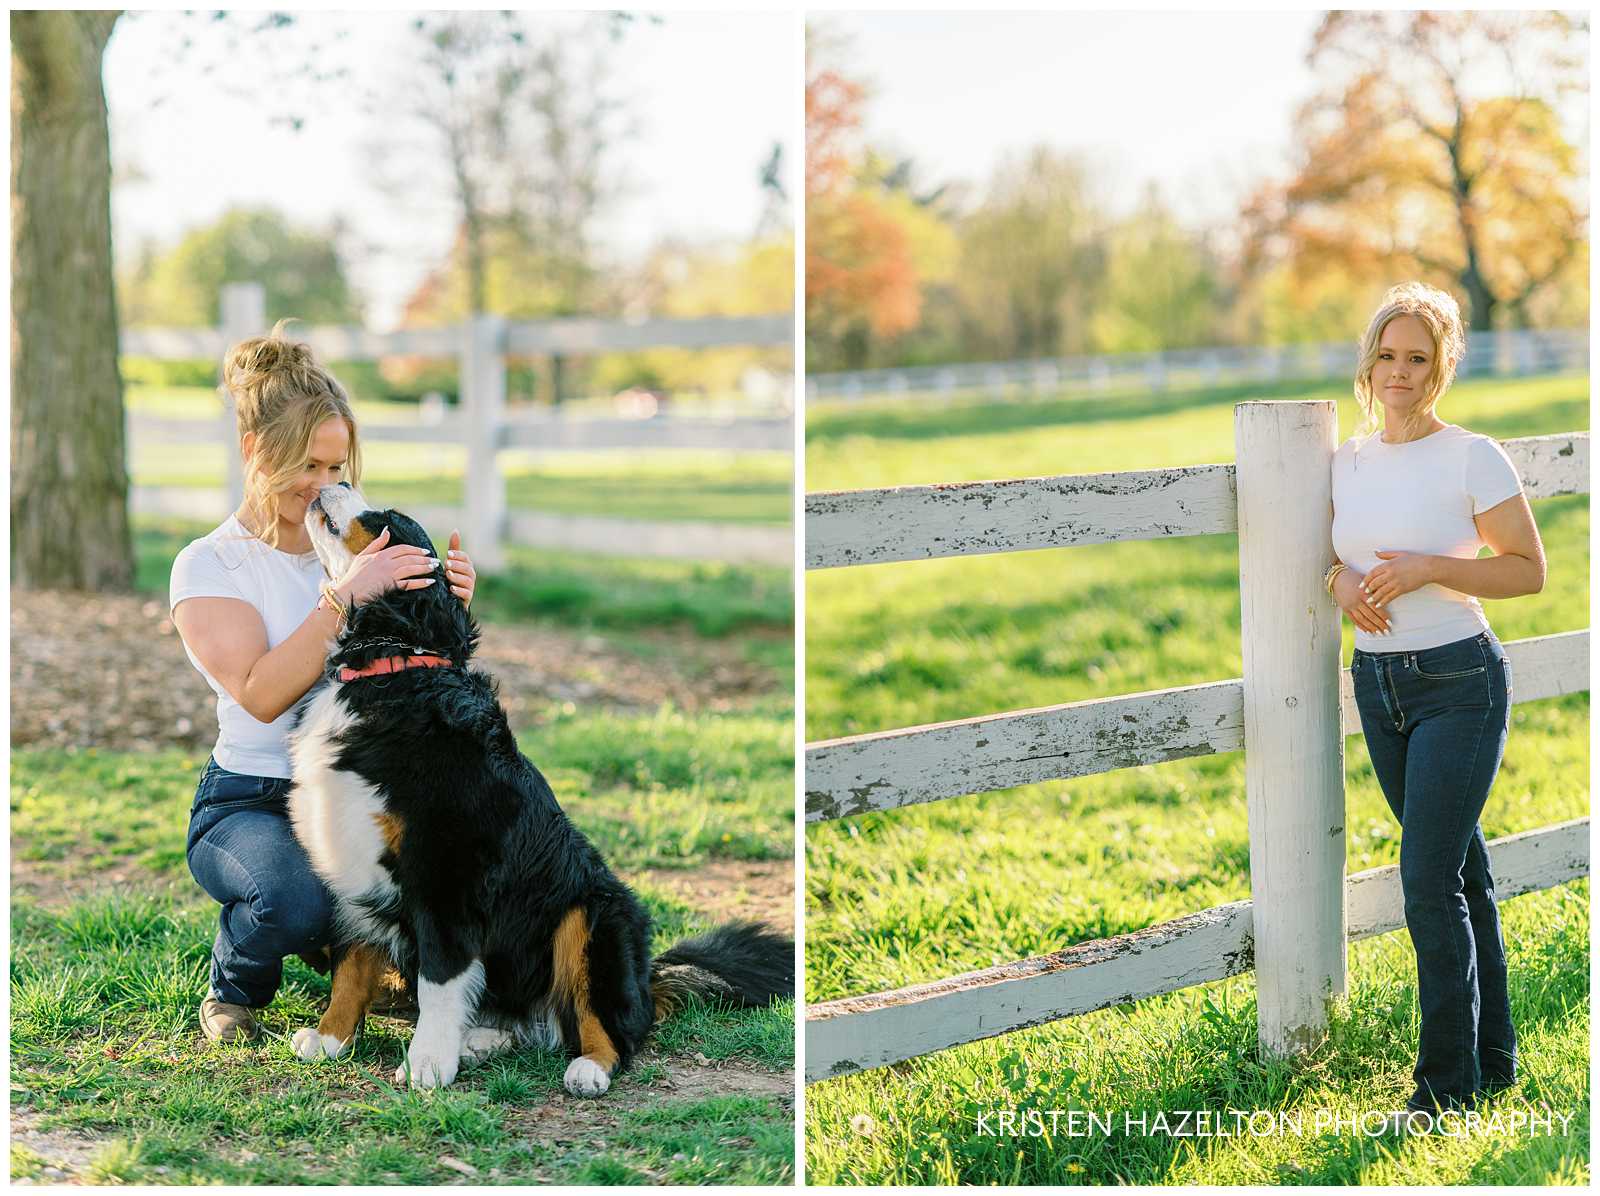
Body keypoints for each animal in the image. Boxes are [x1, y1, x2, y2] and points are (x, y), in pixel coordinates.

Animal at [286, 482, 793, 1093]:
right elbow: (352, 964)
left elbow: (439, 980)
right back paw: (482, 1041)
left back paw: (588, 1068)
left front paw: (427, 1063)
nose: (333, 481)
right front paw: (332, 1037)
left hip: (593, 914)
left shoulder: (444, 874)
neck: (391, 670)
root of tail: (648, 980)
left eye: (385, 516)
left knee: (609, 1027)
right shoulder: (353, 861)